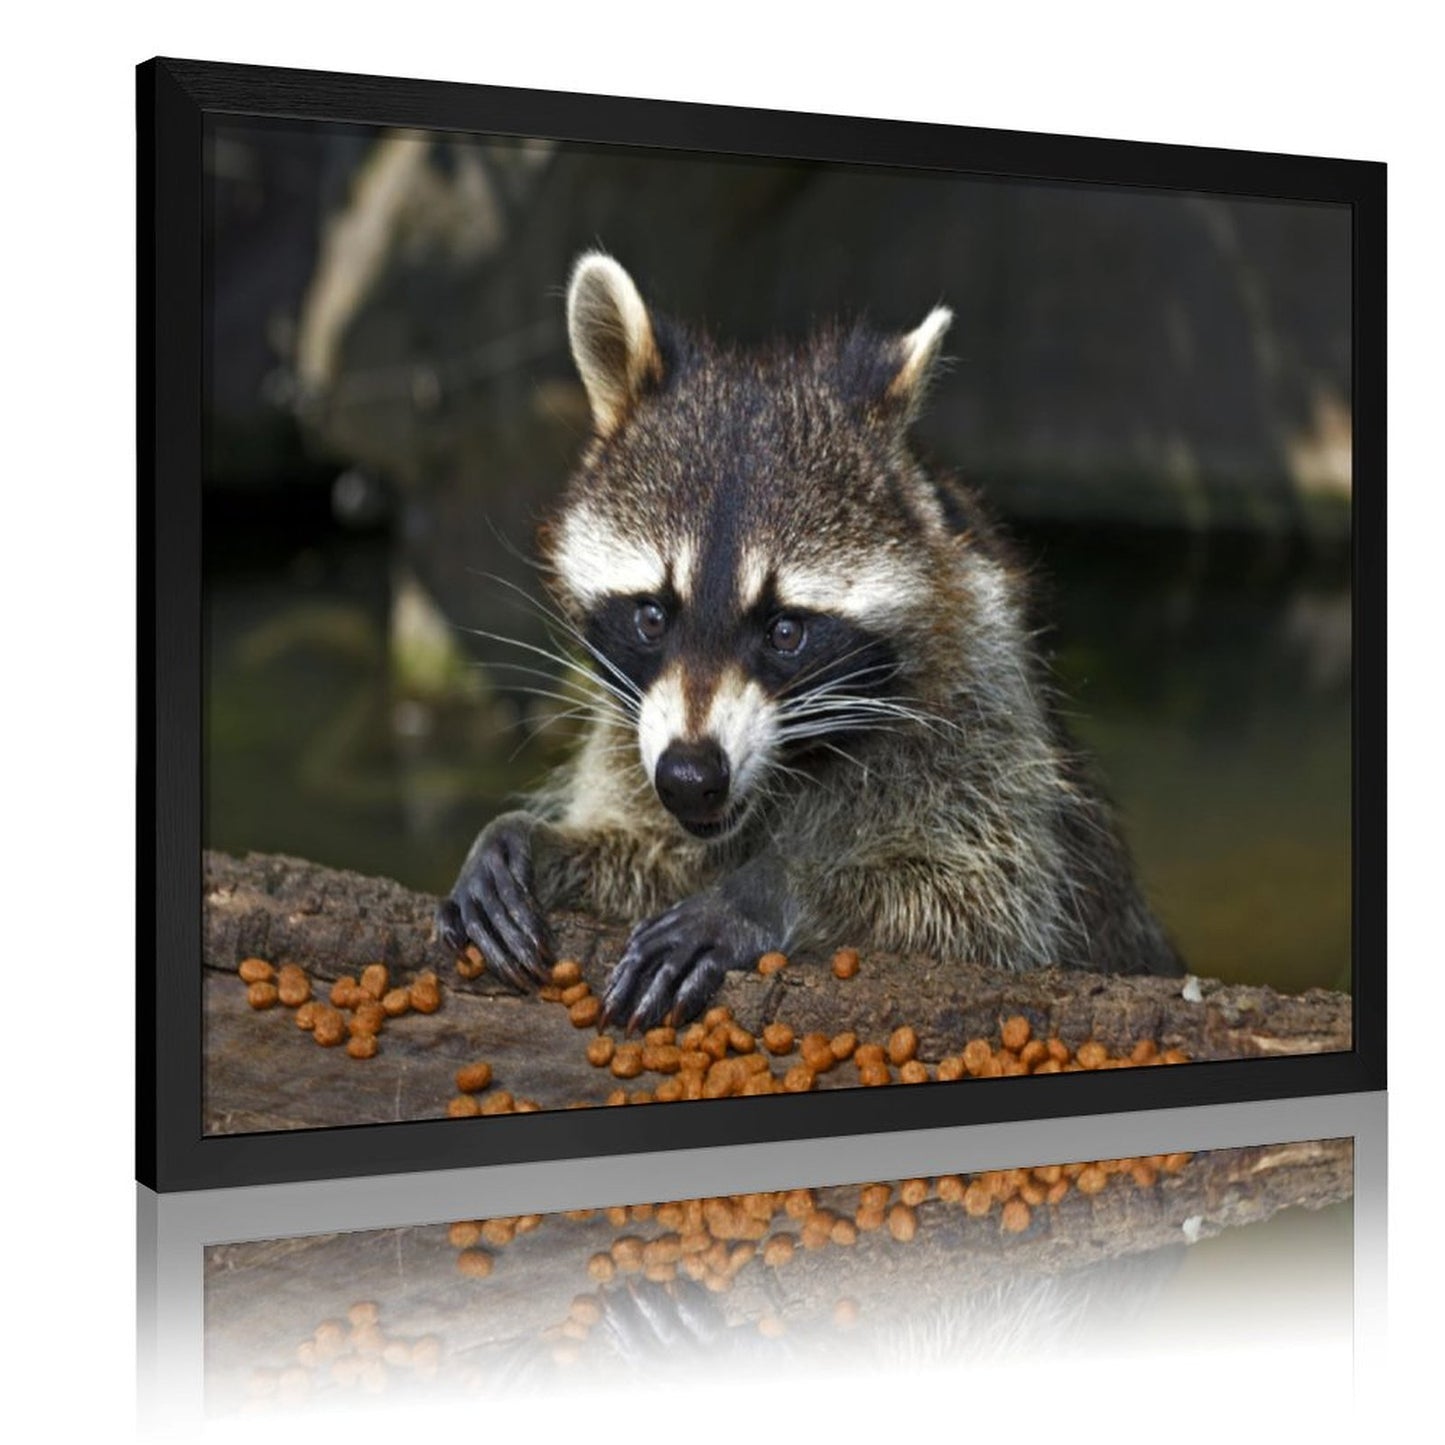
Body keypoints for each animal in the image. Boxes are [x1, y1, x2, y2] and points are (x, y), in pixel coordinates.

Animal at [436, 252, 1181, 1030]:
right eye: (652, 616)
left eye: (786, 631)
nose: (691, 776)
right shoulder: (630, 735)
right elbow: (655, 845)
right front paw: (533, 837)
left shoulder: (982, 709)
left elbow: (983, 909)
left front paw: (772, 887)